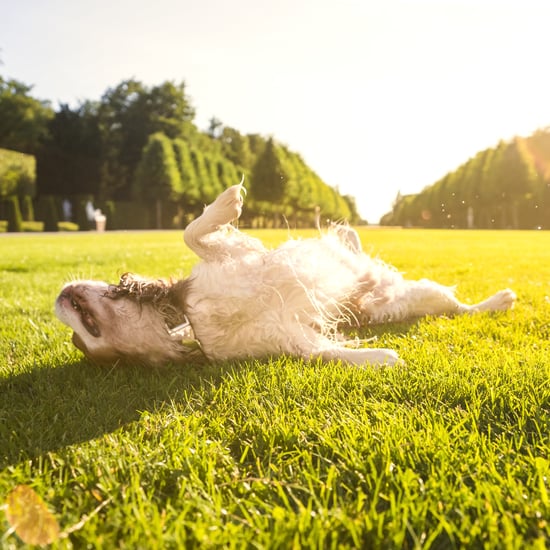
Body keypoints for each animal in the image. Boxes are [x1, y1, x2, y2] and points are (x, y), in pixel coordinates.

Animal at [55, 183, 516, 368]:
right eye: (83, 342)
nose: (59, 298)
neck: (194, 321)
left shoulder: (234, 256)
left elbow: (193, 232)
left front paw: (227, 202)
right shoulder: (289, 338)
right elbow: (326, 353)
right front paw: (380, 357)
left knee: (464, 307)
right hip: (414, 299)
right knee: (459, 310)